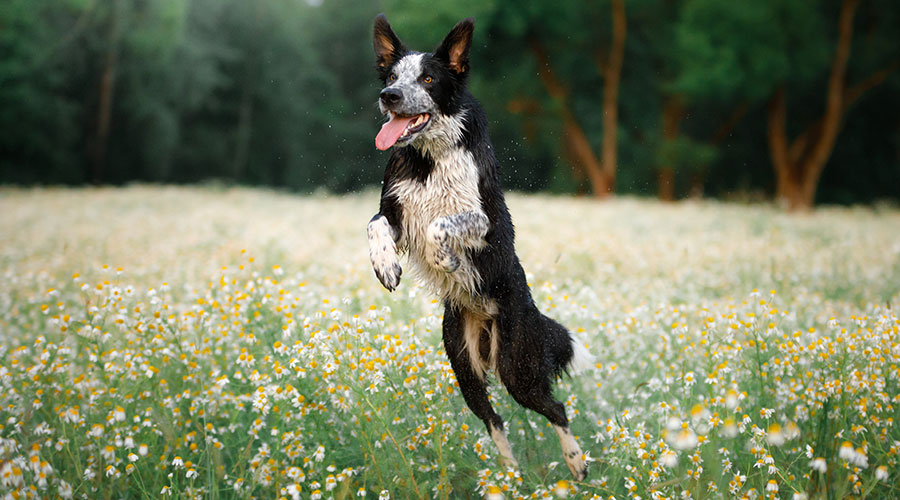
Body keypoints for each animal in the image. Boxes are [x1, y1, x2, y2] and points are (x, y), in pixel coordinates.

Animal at [366, 13, 592, 478]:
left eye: (428, 78)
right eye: (392, 76)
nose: (389, 97)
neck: (427, 157)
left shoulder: (481, 220)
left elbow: (440, 227)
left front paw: (447, 260)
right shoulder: (395, 212)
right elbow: (374, 226)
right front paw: (386, 267)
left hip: (518, 366)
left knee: (556, 408)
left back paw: (576, 464)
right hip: (464, 367)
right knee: (494, 418)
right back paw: (509, 475)